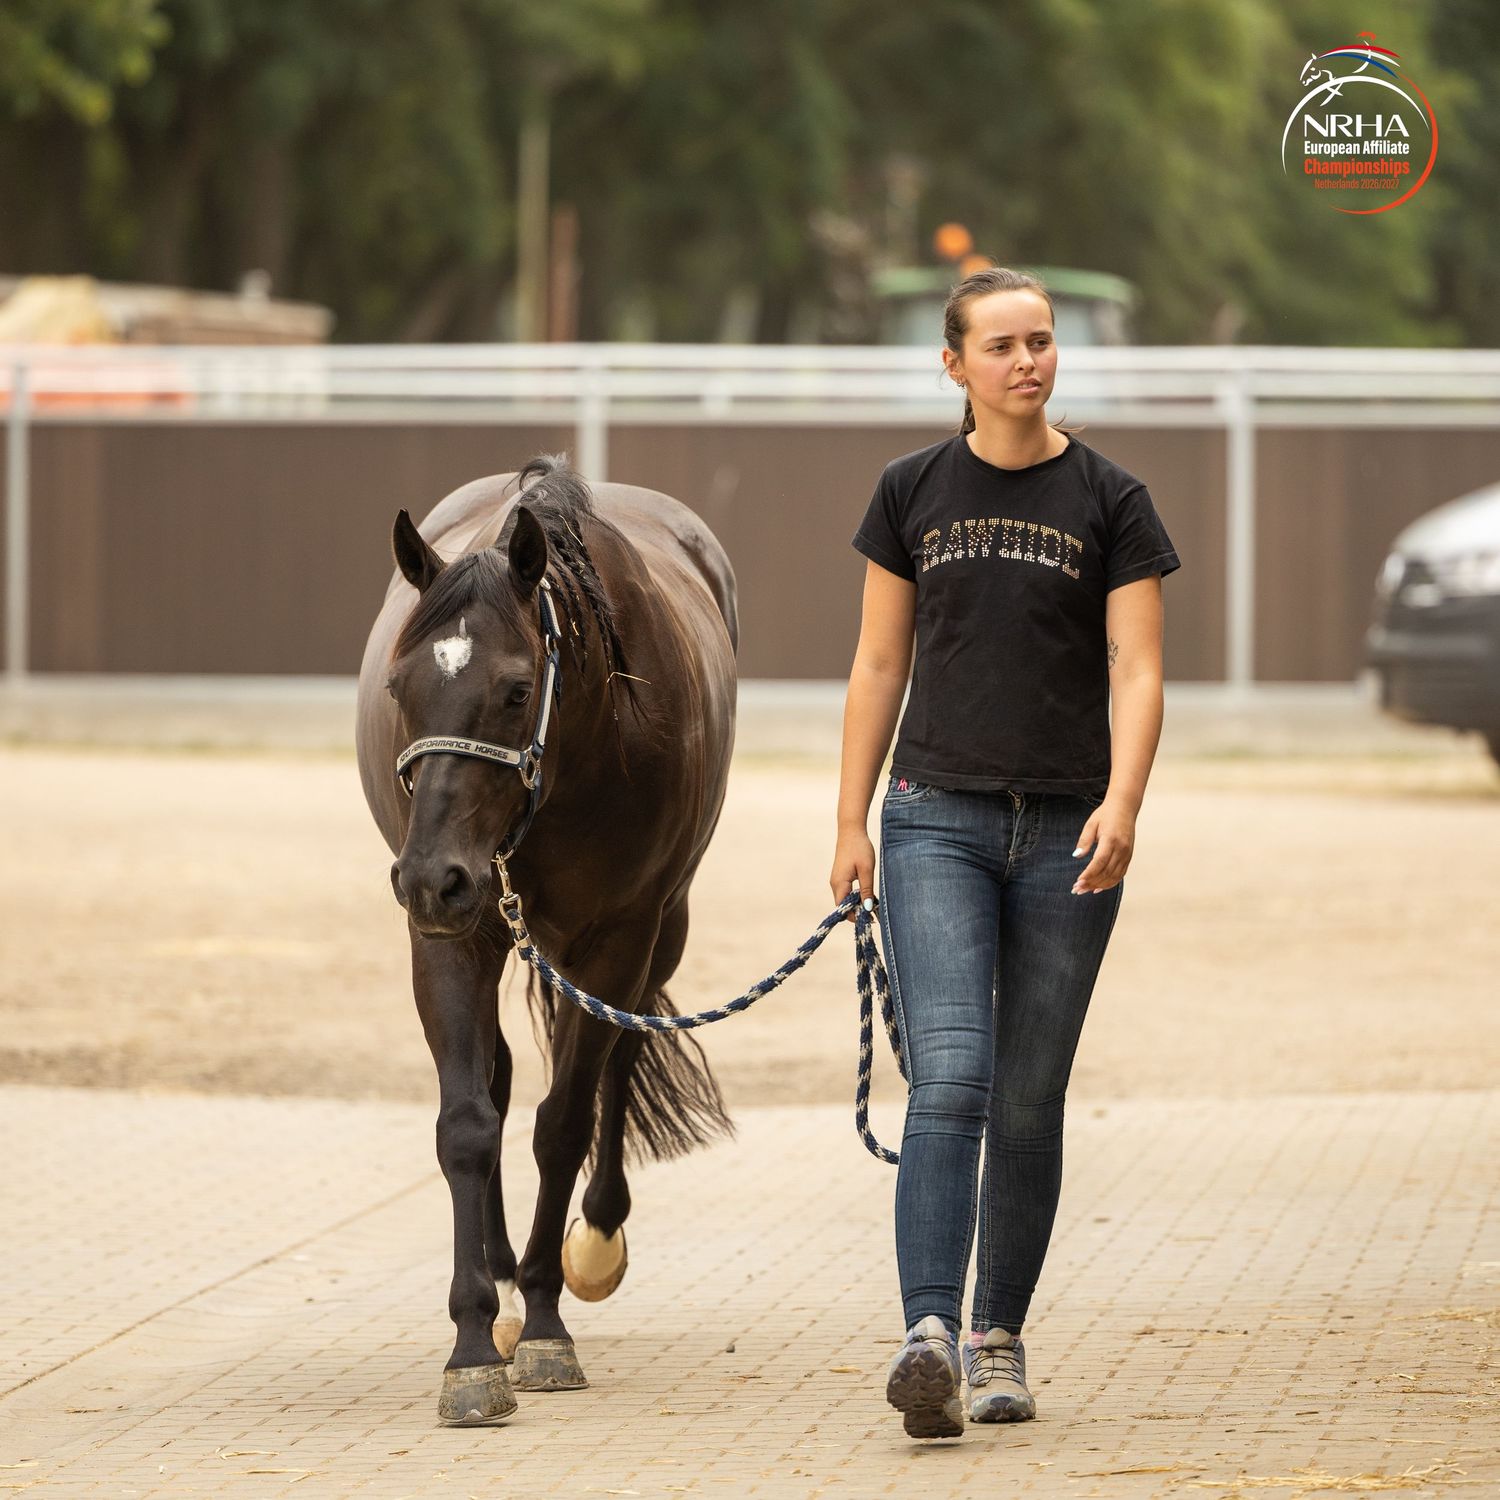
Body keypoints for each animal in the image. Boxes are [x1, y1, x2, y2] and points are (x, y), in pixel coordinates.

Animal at [354, 454, 739, 1423]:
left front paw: (544, 1324)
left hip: (658, 926)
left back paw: (592, 1239)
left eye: (517, 689)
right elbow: (467, 1122)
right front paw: (471, 1344)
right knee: (494, 1074)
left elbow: (563, 1121)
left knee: (622, 1054)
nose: (430, 874)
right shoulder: (450, 936)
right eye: (400, 688)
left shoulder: (620, 933)